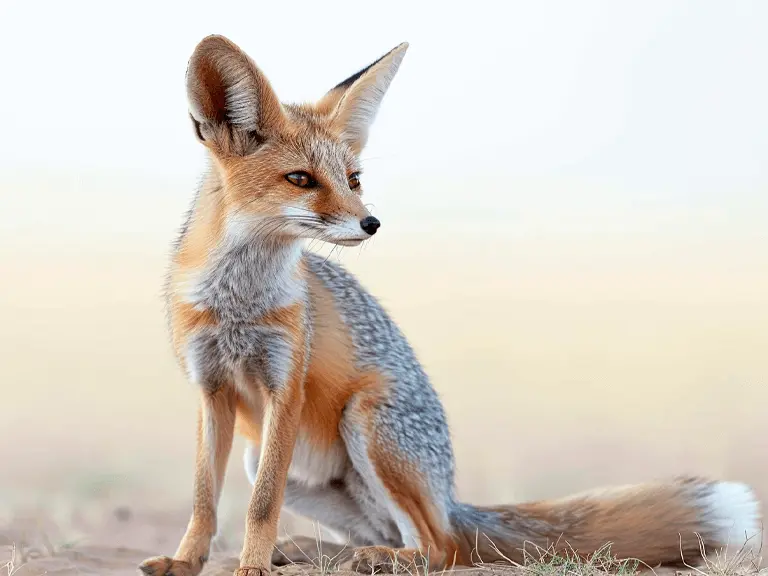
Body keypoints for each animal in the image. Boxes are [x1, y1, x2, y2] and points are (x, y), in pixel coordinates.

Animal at [139, 35, 762, 576]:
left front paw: (250, 566)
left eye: (353, 179)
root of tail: (451, 496)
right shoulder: (212, 389)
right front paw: (188, 561)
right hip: (293, 463)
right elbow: (204, 499)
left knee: (439, 548)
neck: (235, 303)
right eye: (301, 179)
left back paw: (379, 559)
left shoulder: (284, 386)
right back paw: (324, 554)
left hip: (366, 422)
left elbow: (259, 504)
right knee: (390, 536)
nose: (371, 222)